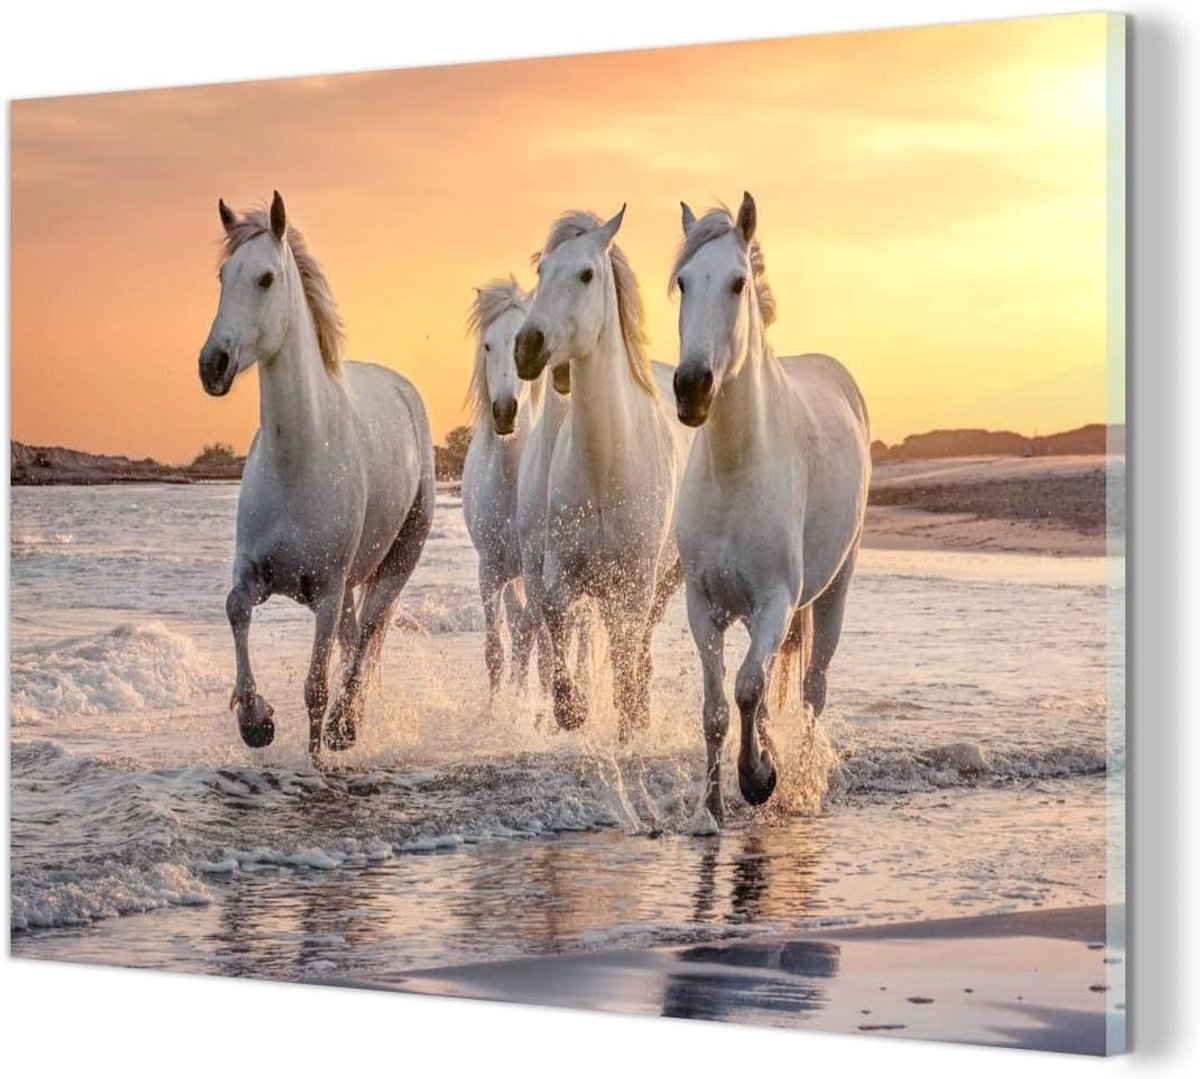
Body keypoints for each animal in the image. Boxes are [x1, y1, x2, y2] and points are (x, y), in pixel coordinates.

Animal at [198, 191, 435, 756]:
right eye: (223, 275)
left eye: (265, 278)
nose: (212, 365)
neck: (298, 461)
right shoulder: (254, 571)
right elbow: (234, 608)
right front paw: (255, 720)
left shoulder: (326, 590)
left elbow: (315, 689)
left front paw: (317, 753)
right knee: (355, 639)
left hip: (396, 561)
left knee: (367, 632)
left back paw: (347, 725)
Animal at [514, 208, 693, 740]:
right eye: (541, 270)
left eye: (586, 274)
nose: (527, 347)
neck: (605, 466)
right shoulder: (560, 571)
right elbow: (555, 621)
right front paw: (570, 709)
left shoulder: (633, 583)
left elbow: (624, 653)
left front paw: (628, 720)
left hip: (665, 579)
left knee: (638, 647)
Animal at [670, 192, 870, 829]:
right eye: (683, 283)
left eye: (737, 283)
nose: (691, 387)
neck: (736, 470)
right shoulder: (703, 606)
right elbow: (716, 707)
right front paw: (710, 809)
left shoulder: (775, 601)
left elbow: (748, 689)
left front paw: (758, 779)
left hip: (832, 591)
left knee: (812, 688)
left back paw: (800, 779)